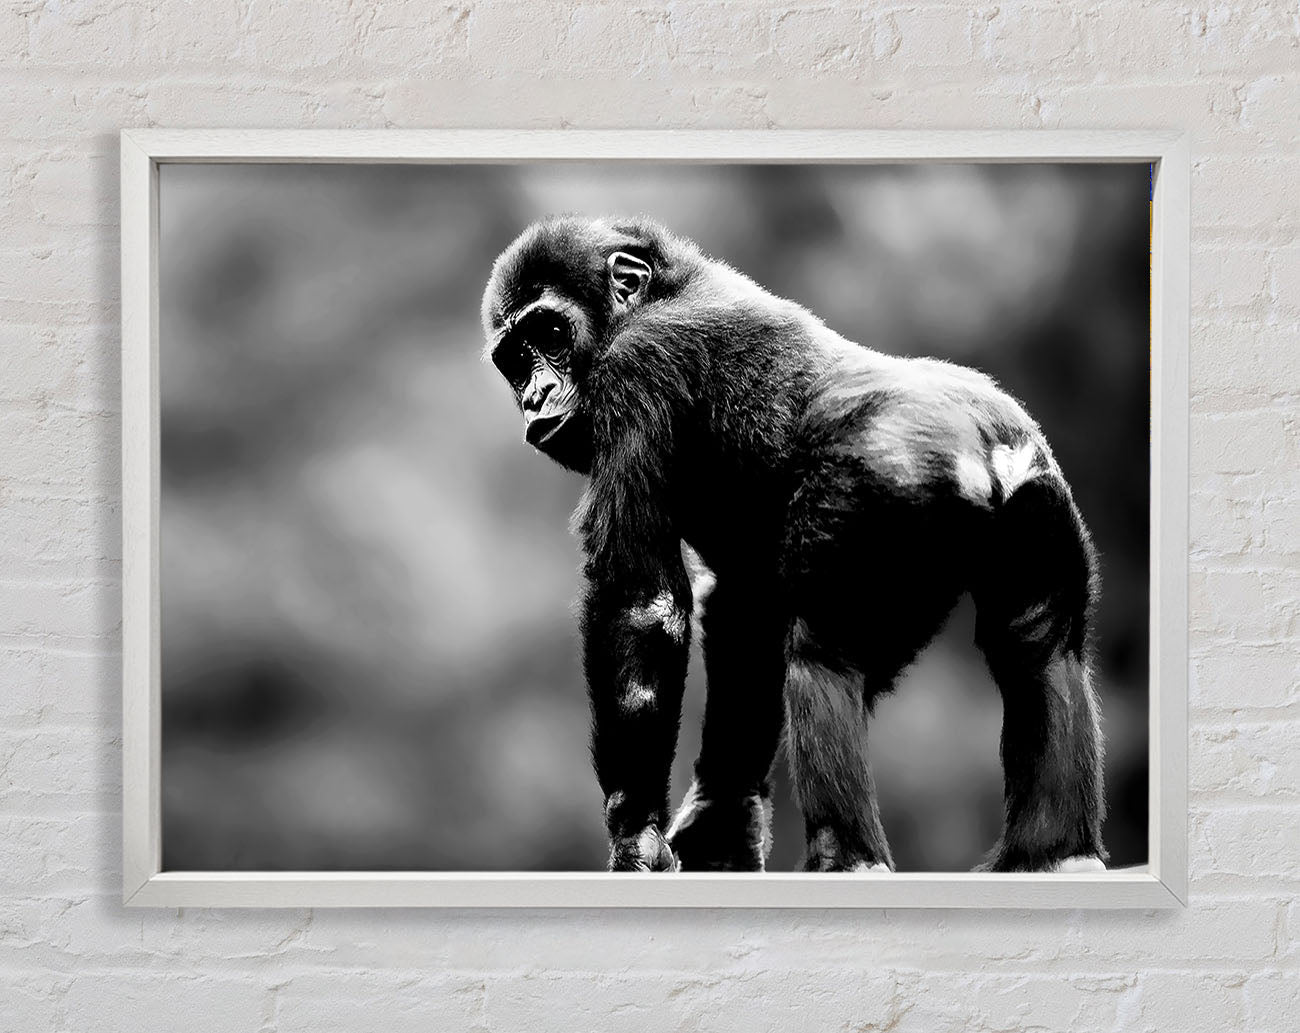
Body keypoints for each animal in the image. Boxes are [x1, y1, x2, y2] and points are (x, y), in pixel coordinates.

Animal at [480, 215, 1107, 875]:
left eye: (549, 334)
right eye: (515, 360)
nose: (535, 395)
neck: (658, 293)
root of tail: (984, 445)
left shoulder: (637, 366)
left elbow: (640, 604)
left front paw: (635, 833)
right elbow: (746, 617)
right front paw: (720, 824)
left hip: (881, 487)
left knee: (824, 654)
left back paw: (848, 857)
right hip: (1037, 495)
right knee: (1037, 646)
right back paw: (1055, 855)